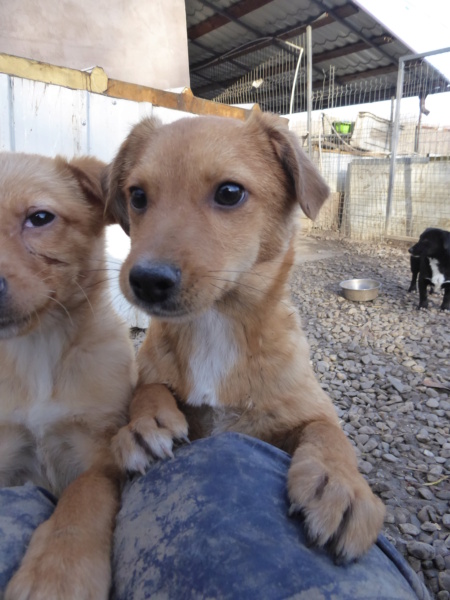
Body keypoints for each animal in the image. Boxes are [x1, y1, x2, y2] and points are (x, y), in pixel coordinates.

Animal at [105, 111, 384, 564]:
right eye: (138, 196)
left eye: (230, 192)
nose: (146, 281)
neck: (215, 324)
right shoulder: (153, 372)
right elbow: (148, 388)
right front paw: (146, 423)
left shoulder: (304, 410)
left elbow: (330, 432)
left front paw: (339, 483)